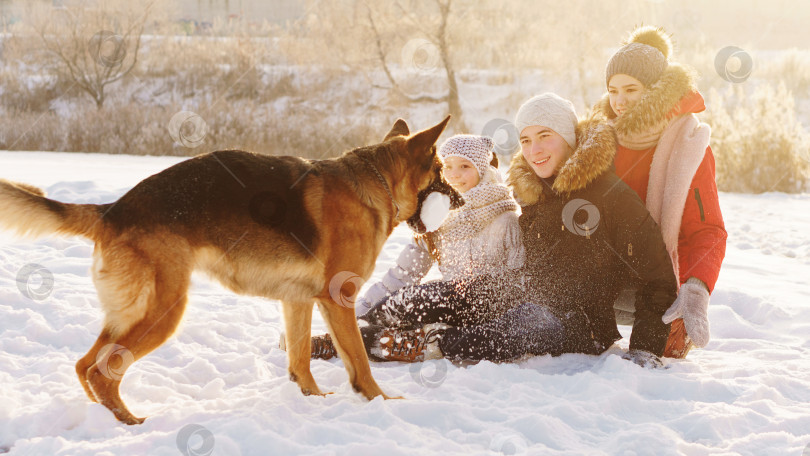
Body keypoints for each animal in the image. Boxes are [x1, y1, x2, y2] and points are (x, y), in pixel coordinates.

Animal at [0, 116, 460, 426]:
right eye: (440, 173)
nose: (460, 201)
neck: (374, 182)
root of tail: (113, 209)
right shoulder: (337, 299)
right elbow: (360, 362)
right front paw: (379, 400)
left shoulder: (297, 301)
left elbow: (300, 359)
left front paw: (312, 399)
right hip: (164, 313)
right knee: (101, 371)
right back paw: (130, 423)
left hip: (130, 314)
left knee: (85, 365)